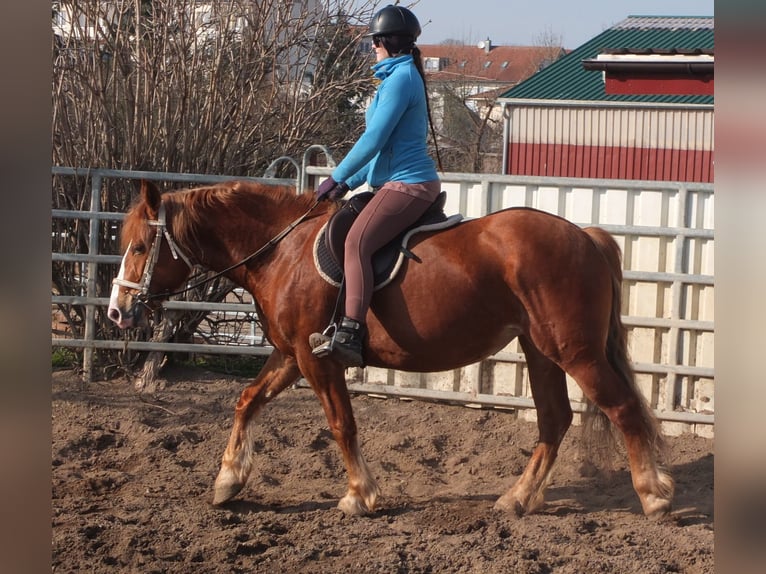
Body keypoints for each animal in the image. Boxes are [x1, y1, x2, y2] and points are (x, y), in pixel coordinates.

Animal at [106, 181, 672, 520]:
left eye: (140, 247)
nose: (117, 311)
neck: (283, 249)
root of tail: (585, 234)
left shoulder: (317, 359)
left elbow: (341, 424)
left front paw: (360, 495)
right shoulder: (291, 355)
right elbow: (247, 401)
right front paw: (227, 482)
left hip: (575, 352)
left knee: (621, 408)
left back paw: (652, 495)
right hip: (540, 351)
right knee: (554, 420)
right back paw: (516, 499)